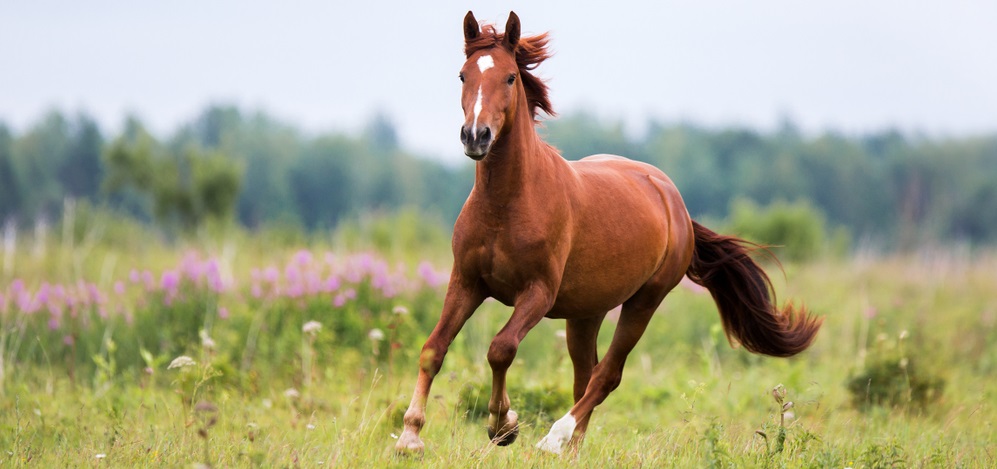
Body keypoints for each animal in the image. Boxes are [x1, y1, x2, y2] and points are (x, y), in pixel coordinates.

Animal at [392, 11, 820, 456]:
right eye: (463, 75)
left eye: (510, 77)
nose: (476, 136)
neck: (506, 205)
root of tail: (674, 201)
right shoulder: (467, 282)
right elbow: (433, 349)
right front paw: (410, 436)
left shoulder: (538, 293)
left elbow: (501, 349)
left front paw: (502, 426)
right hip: (586, 313)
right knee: (586, 375)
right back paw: (572, 449)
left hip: (644, 302)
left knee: (606, 375)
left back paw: (555, 438)